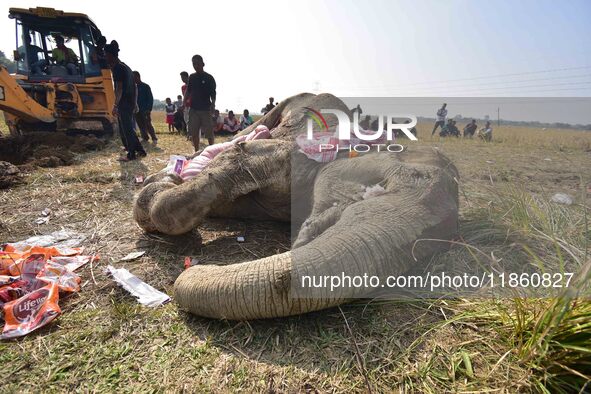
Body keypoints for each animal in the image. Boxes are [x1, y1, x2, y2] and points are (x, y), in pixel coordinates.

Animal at [135, 92, 462, 320]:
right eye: (381, 184)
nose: (194, 268)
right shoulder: (286, 154)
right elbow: (234, 159)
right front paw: (159, 186)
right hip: (279, 108)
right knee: (243, 134)